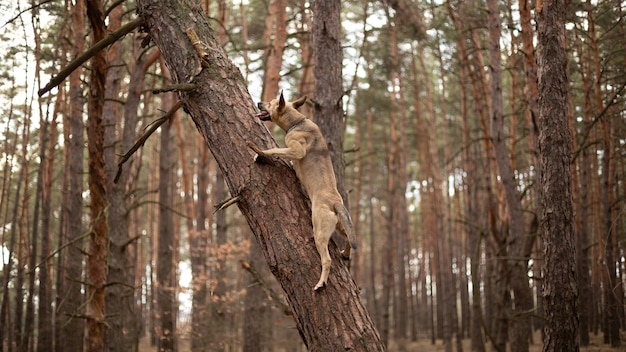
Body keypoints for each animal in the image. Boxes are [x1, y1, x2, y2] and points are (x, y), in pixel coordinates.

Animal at [247, 91, 356, 292]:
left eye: (271, 103)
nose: (258, 102)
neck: (297, 122)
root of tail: (335, 202)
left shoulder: (296, 149)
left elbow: (275, 149)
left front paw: (260, 153)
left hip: (319, 231)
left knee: (327, 259)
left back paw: (321, 283)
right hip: (340, 225)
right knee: (349, 239)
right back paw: (345, 253)